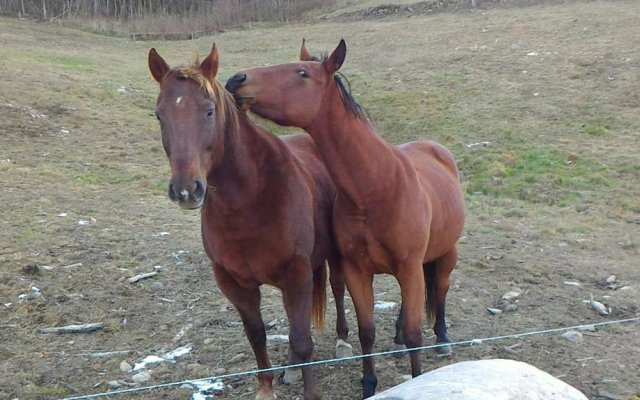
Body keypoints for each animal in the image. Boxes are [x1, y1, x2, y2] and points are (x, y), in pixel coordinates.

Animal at [148, 43, 352, 400]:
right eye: (160, 114)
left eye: (209, 111)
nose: (186, 189)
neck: (249, 199)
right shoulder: (234, 282)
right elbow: (257, 335)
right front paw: (266, 388)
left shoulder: (297, 274)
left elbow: (303, 338)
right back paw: (292, 368)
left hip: (330, 258)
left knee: (338, 290)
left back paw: (342, 341)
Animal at [226, 39, 464, 396]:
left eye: (302, 73)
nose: (237, 80)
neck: (375, 188)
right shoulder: (357, 271)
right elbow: (367, 331)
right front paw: (369, 385)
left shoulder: (408, 267)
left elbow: (414, 333)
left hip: (446, 254)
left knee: (442, 289)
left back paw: (443, 337)